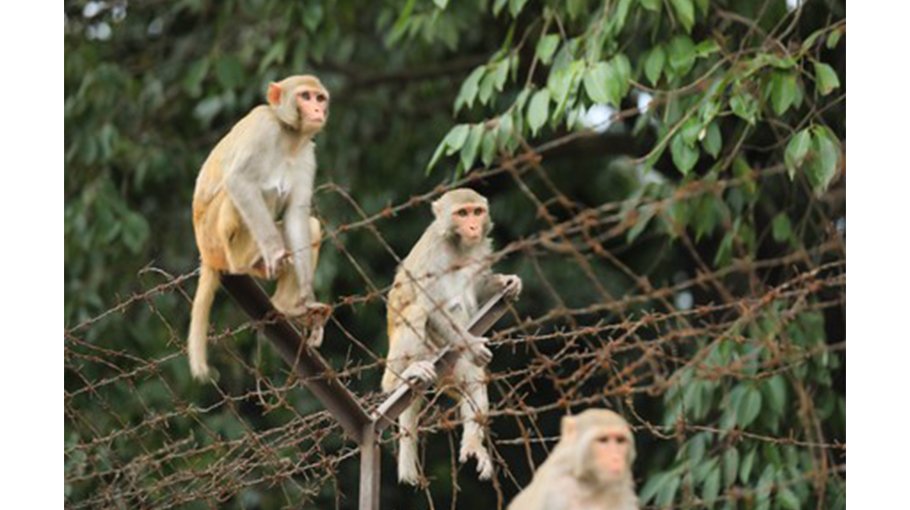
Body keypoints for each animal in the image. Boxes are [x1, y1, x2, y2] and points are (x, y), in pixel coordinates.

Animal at [187, 75, 331, 381]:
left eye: (319, 98)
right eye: (305, 96)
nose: (317, 110)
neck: (289, 135)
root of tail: (206, 255)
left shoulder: (307, 152)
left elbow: (297, 216)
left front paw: (306, 297)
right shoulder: (263, 128)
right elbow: (240, 181)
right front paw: (275, 252)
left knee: (310, 224)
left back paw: (287, 306)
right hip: (216, 239)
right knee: (247, 189)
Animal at [381, 188, 522, 485]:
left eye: (477, 212)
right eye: (462, 213)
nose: (473, 226)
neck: (458, 245)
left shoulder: (481, 250)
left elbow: (479, 286)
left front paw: (507, 282)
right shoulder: (433, 253)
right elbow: (431, 305)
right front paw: (471, 344)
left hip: (451, 365)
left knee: (474, 379)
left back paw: (472, 442)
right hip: (425, 352)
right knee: (417, 311)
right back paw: (398, 378)